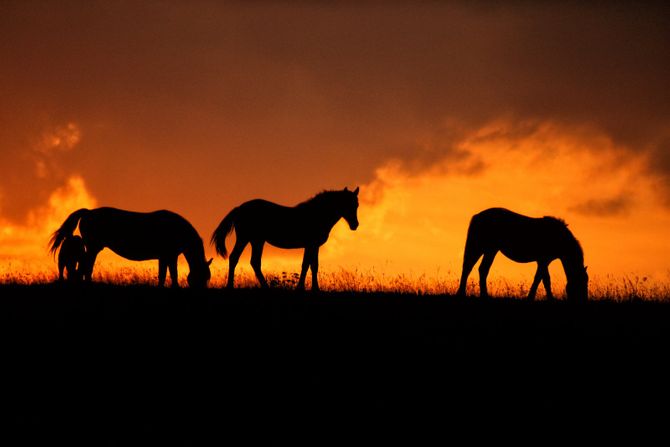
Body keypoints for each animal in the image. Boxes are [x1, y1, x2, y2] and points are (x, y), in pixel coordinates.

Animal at [49, 208, 213, 288]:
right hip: (92, 248)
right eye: (202, 276)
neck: (178, 230)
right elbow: (171, 274)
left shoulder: (165, 257)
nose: (201, 290)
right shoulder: (169, 256)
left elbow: (164, 274)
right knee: (85, 267)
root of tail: (88, 212)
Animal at [214, 186, 362, 290]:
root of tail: (239, 208)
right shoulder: (310, 244)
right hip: (245, 238)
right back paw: (231, 286)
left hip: (256, 240)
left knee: (253, 262)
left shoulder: (313, 246)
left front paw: (314, 288)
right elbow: (307, 265)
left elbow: (313, 265)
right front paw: (302, 288)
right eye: (347, 204)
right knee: (235, 258)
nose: (355, 225)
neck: (317, 214)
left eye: (356, 205)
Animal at [456, 208, 588, 302]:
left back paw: (482, 295)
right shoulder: (543, 260)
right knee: (469, 268)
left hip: (490, 250)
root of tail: (477, 216)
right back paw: (462, 294)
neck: (559, 238)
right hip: (481, 247)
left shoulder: (543, 261)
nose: (584, 300)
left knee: (481, 269)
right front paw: (538, 298)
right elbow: (542, 279)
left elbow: (542, 279)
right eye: (582, 282)